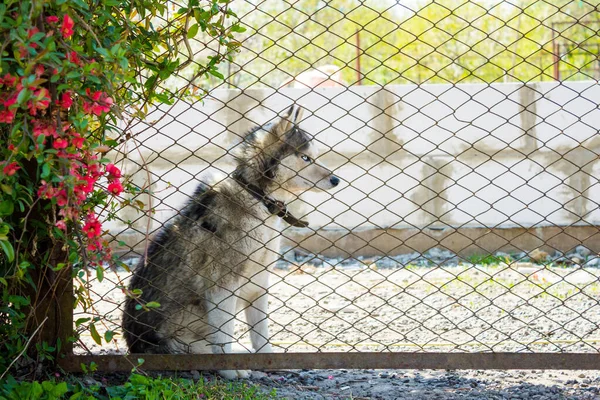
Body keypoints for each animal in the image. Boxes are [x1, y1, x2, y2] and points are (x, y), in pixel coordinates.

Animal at [123, 105, 338, 378]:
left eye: (315, 156)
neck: (256, 198)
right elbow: (224, 335)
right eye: (306, 158)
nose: (336, 180)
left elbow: (261, 335)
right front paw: (229, 369)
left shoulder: (259, 284)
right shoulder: (221, 286)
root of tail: (133, 348)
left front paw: (269, 361)